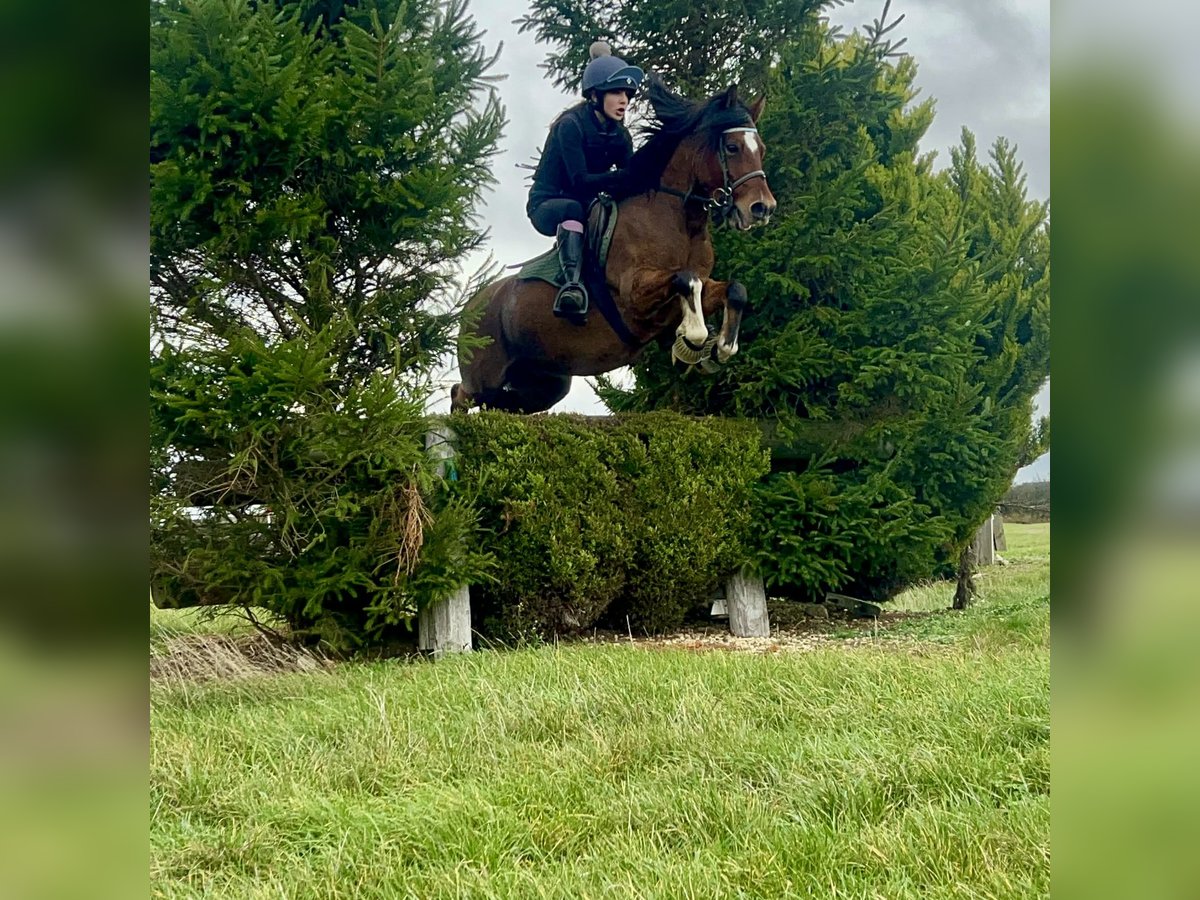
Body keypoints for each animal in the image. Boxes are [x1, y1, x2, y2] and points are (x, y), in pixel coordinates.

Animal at [450, 75, 776, 414]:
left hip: (542, 384)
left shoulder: (693, 289)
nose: (762, 208)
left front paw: (719, 348)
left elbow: (733, 290)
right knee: (459, 395)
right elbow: (687, 280)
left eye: (762, 150)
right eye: (732, 147)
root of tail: (471, 306)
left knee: (503, 405)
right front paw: (693, 339)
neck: (679, 221)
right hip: (483, 375)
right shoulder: (636, 292)